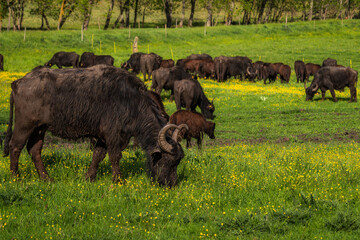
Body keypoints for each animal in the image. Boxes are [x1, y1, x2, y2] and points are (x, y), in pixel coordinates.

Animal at [2, 65, 188, 188]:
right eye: (167, 161)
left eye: (178, 162)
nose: (171, 184)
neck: (131, 101)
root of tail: (18, 83)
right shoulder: (112, 135)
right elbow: (115, 156)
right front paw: (118, 180)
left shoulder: (104, 137)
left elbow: (98, 155)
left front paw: (89, 177)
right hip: (24, 125)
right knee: (15, 147)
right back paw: (16, 177)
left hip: (40, 128)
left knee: (34, 150)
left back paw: (46, 178)